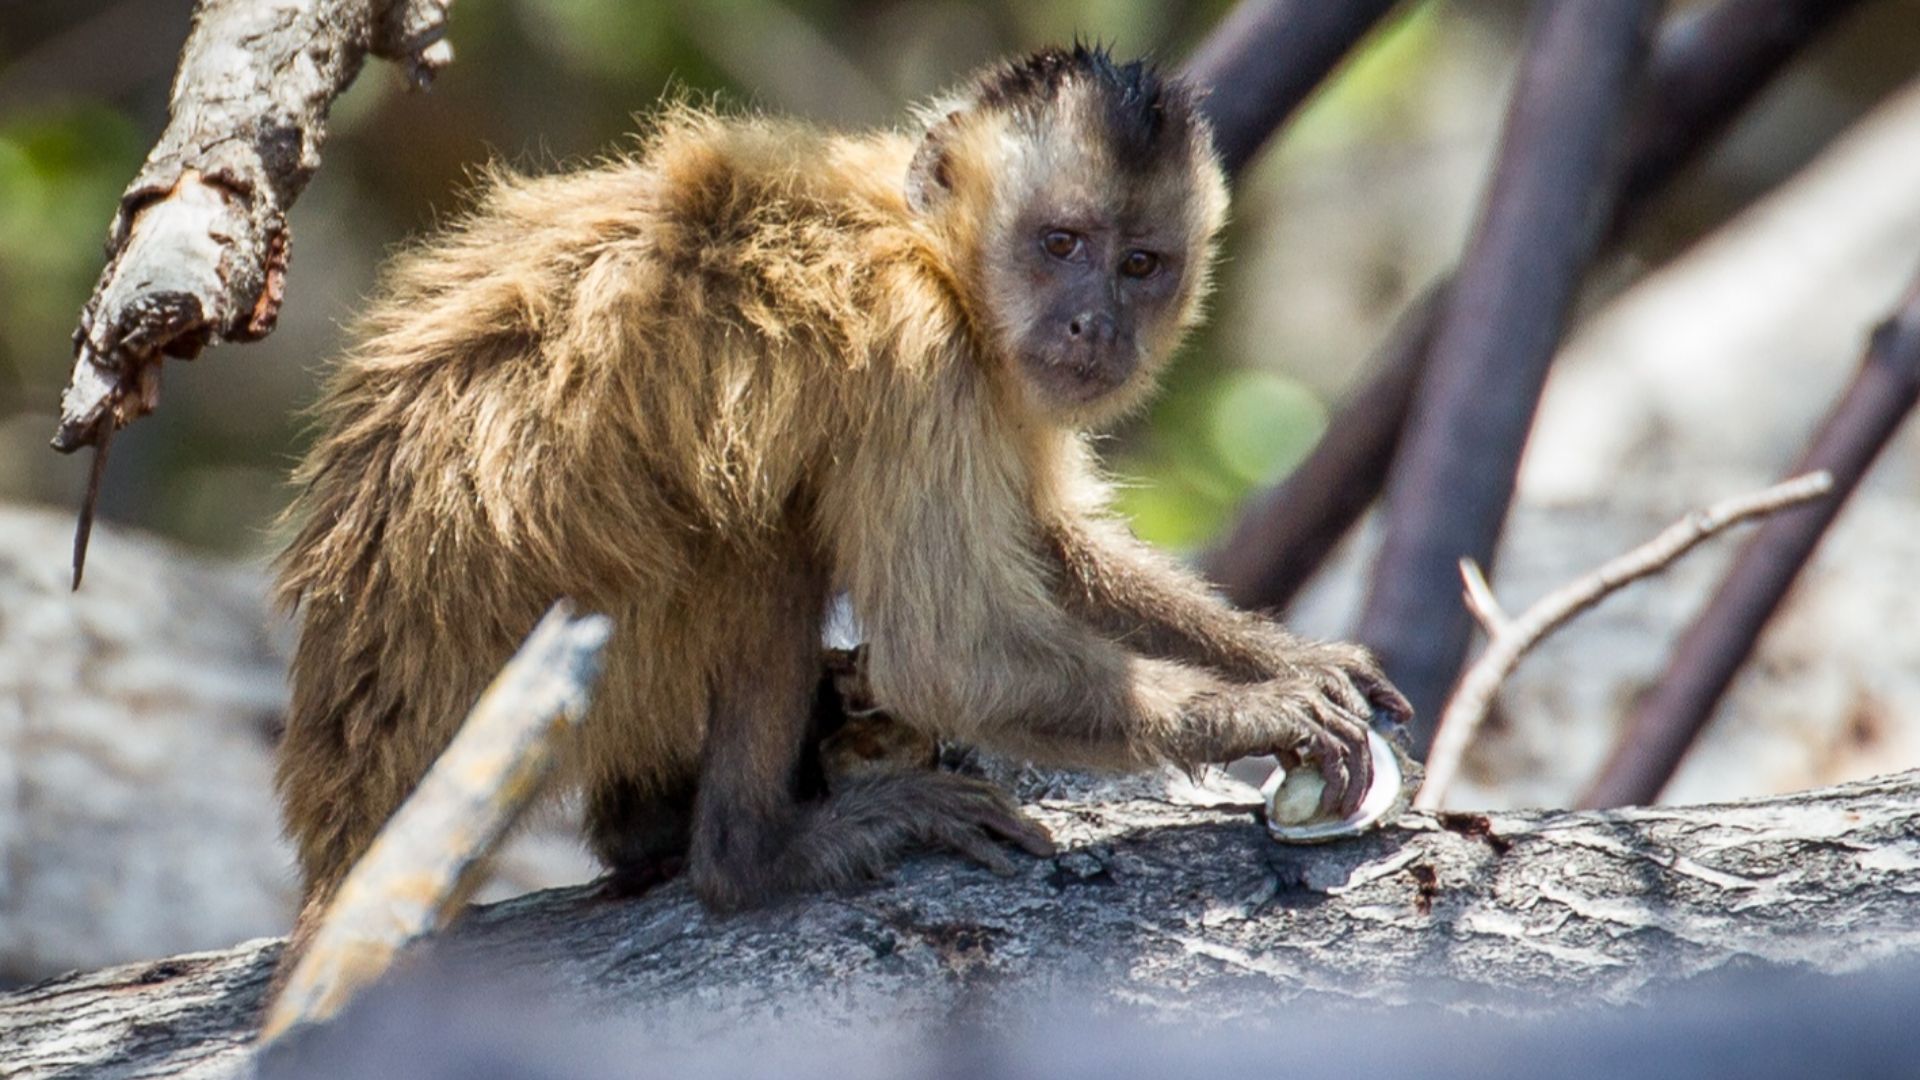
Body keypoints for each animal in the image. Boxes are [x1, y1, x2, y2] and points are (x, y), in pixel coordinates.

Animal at [273, 44, 1411, 927]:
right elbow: (951, 656)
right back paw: (748, 854)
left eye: (1140, 264)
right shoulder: (921, 348)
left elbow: (1044, 544)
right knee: (764, 537)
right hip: (548, 679)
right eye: (1059, 245)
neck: (929, 246)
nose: (1095, 324)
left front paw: (1288, 658)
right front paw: (1256, 710)